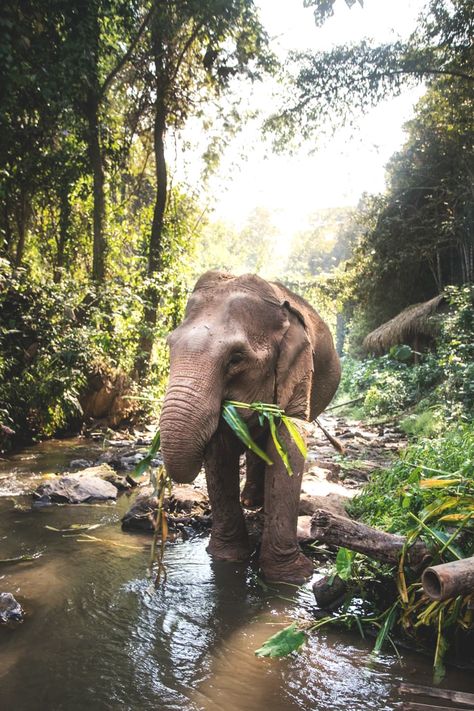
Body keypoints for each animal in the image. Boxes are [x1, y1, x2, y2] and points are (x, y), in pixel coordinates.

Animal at [160, 272, 340, 584]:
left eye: (236, 359)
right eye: (170, 347)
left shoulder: (299, 371)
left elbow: (289, 439)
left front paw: (290, 577)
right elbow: (220, 449)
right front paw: (227, 557)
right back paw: (251, 500)